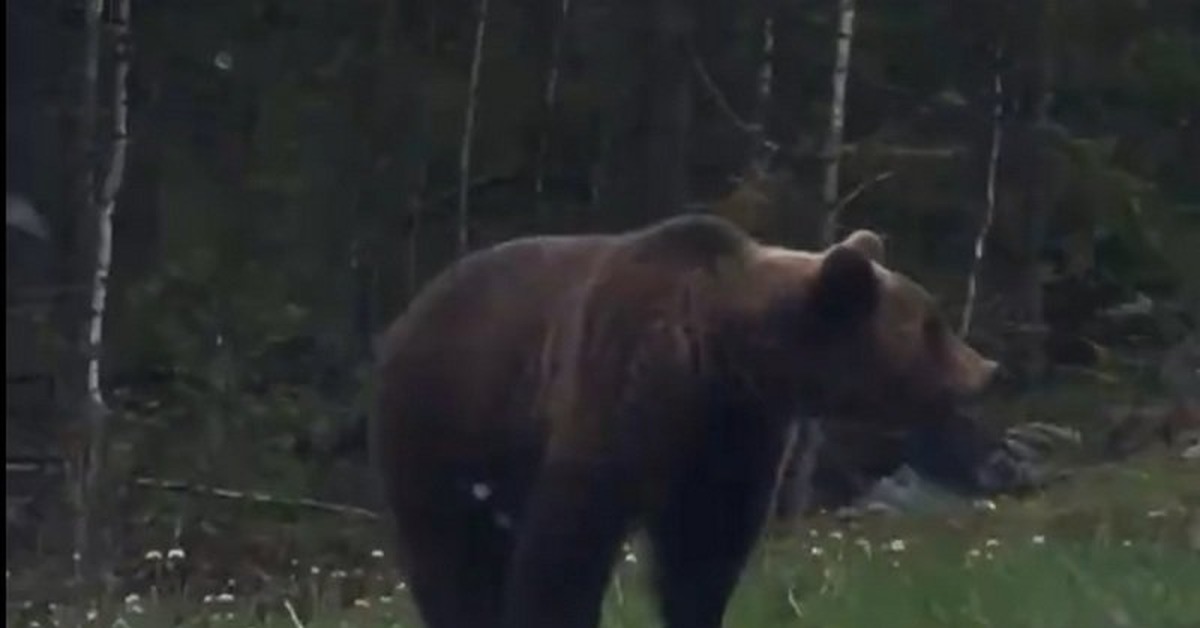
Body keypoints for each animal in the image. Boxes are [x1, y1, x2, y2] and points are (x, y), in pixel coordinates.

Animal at [372, 213, 993, 624]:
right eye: (931, 326)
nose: (986, 369)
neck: (721, 360)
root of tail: (405, 316)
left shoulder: (734, 437)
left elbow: (705, 549)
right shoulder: (617, 390)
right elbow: (568, 544)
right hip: (444, 423)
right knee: (447, 552)